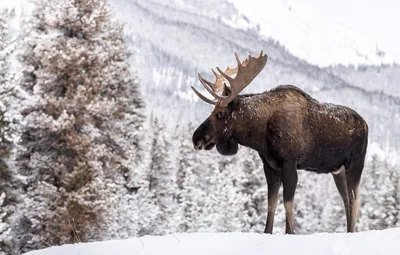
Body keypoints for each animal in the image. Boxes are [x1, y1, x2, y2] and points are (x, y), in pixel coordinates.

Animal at [191, 50, 368, 235]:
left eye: (220, 113)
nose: (196, 138)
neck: (261, 134)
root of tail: (366, 124)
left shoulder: (289, 162)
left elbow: (287, 203)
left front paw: (290, 232)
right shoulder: (270, 166)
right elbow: (271, 203)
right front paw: (267, 232)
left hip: (355, 163)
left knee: (354, 200)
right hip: (337, 170)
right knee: (346, 199)